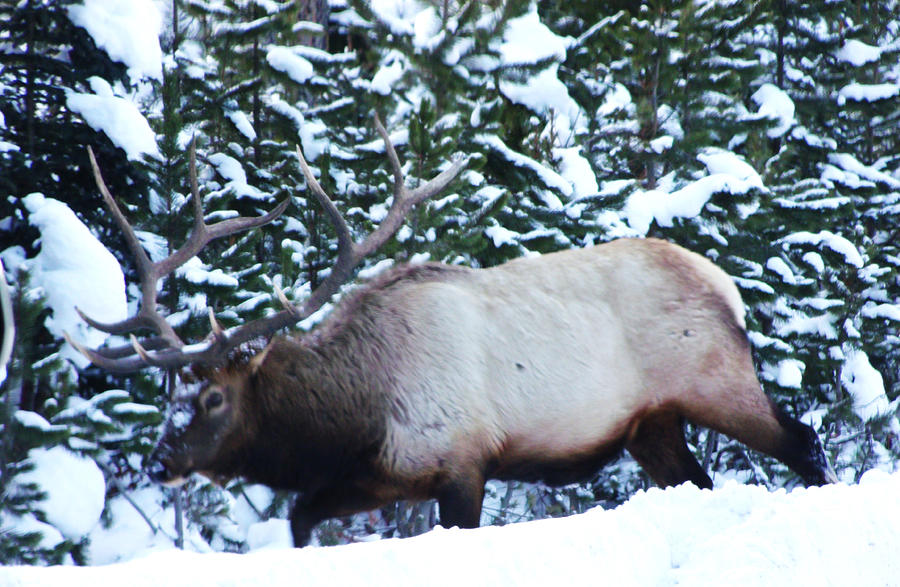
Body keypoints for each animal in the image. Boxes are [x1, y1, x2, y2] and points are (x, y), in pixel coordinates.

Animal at [70, 117, 836, 548]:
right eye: (168, 395)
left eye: (212, 399)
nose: (159, 461)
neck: (358, 415)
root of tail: (727, 288)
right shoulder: (379, 478)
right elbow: (300, 519)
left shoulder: (463, 461)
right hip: (651, 425)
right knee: (698, 480)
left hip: (716, 382)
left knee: (802, 440)